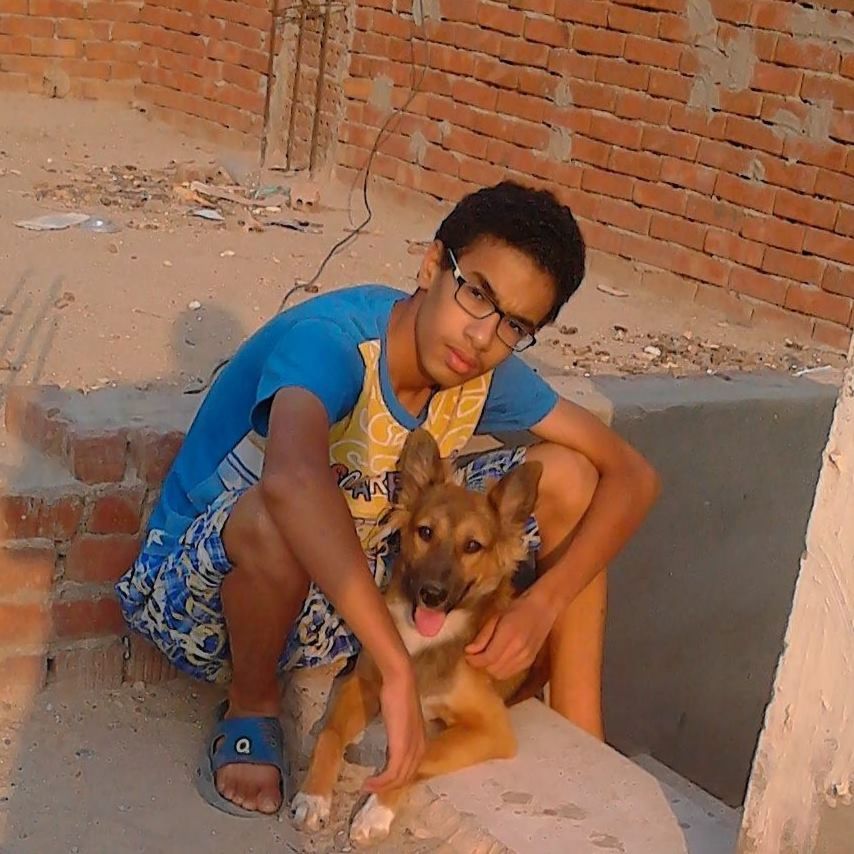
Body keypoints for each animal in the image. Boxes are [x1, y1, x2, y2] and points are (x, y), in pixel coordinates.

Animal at [290, 432, 540, 844]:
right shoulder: (365, 682)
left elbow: (419, 756)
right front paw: (314, 797)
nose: (432, 595)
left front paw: (376, 812)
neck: (425, 640)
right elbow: (330, 734)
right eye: (425, 532)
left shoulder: (493, 729)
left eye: (473, 546)